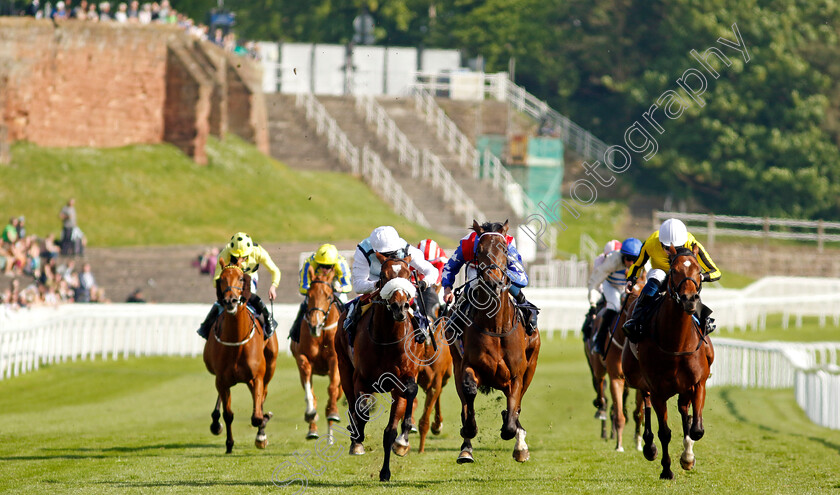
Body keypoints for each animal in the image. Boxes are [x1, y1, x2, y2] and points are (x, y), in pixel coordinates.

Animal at [203, 262, 278, 456]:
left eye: (241, 278)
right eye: (221, 279)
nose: (230, 301)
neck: (236, 343)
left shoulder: (257, 377)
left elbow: (257, 416)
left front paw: (262, 429)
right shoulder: (221, 379)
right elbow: (228, 414)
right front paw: (229, 443)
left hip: (269, 367)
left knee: (263, 395)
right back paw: (215, 422)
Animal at [288, 266, 342, 444]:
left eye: (329, 296)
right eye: (309, 296)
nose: (314, 325)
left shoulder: (335, 360)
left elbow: (332, 389)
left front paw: (333, 412)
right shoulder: (303, 359)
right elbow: (309, 394)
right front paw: (310, 413)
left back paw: (330, 435)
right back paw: (313, 431)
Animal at [334, 254, 424, 482]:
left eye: (408, 274)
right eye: (384, 275)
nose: (399, 307)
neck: (387, 340)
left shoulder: (402, 380)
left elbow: (391, 429)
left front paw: (397, 451)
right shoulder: (361, 379)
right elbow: (362, 410)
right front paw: (357, 439)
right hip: (344, 367)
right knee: (352, 404)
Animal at [450, 221, 540, 464]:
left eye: (505, 250)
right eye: (480, 250)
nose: (493, 281)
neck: (495, 327)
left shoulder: (517, 375)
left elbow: (511, 418)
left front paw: (516, 438)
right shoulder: (467, 365)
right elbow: (469, 393)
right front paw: (469, 431)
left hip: (531, 366)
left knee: (517, 406)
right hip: (455, 364)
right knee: (464, 403)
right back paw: (466, 448)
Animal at [624, 245, 716, 480]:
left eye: (698, 270)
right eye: (674, 270)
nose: (689, 299)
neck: (677, 343)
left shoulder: (698, 383)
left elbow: (696, 428)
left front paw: (688, 457)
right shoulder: (657, 390)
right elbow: (664, 432)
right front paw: (666, 469)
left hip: (684, 387)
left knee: (684, 410)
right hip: (639, 378)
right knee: (645, 404)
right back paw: (649, 447)